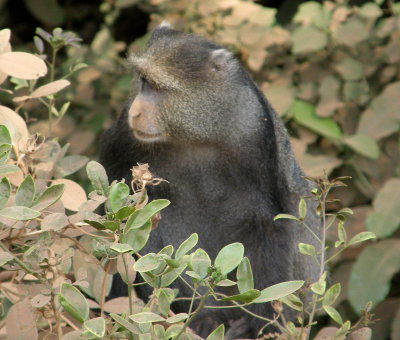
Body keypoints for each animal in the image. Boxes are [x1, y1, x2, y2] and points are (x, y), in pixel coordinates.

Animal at [101, 23, 322, 338]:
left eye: (158, 87)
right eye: (143, 82)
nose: (136, 111)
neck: (197, 133)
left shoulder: (256, 135)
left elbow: (267, 224)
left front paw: (265, 320)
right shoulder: (124, 135)